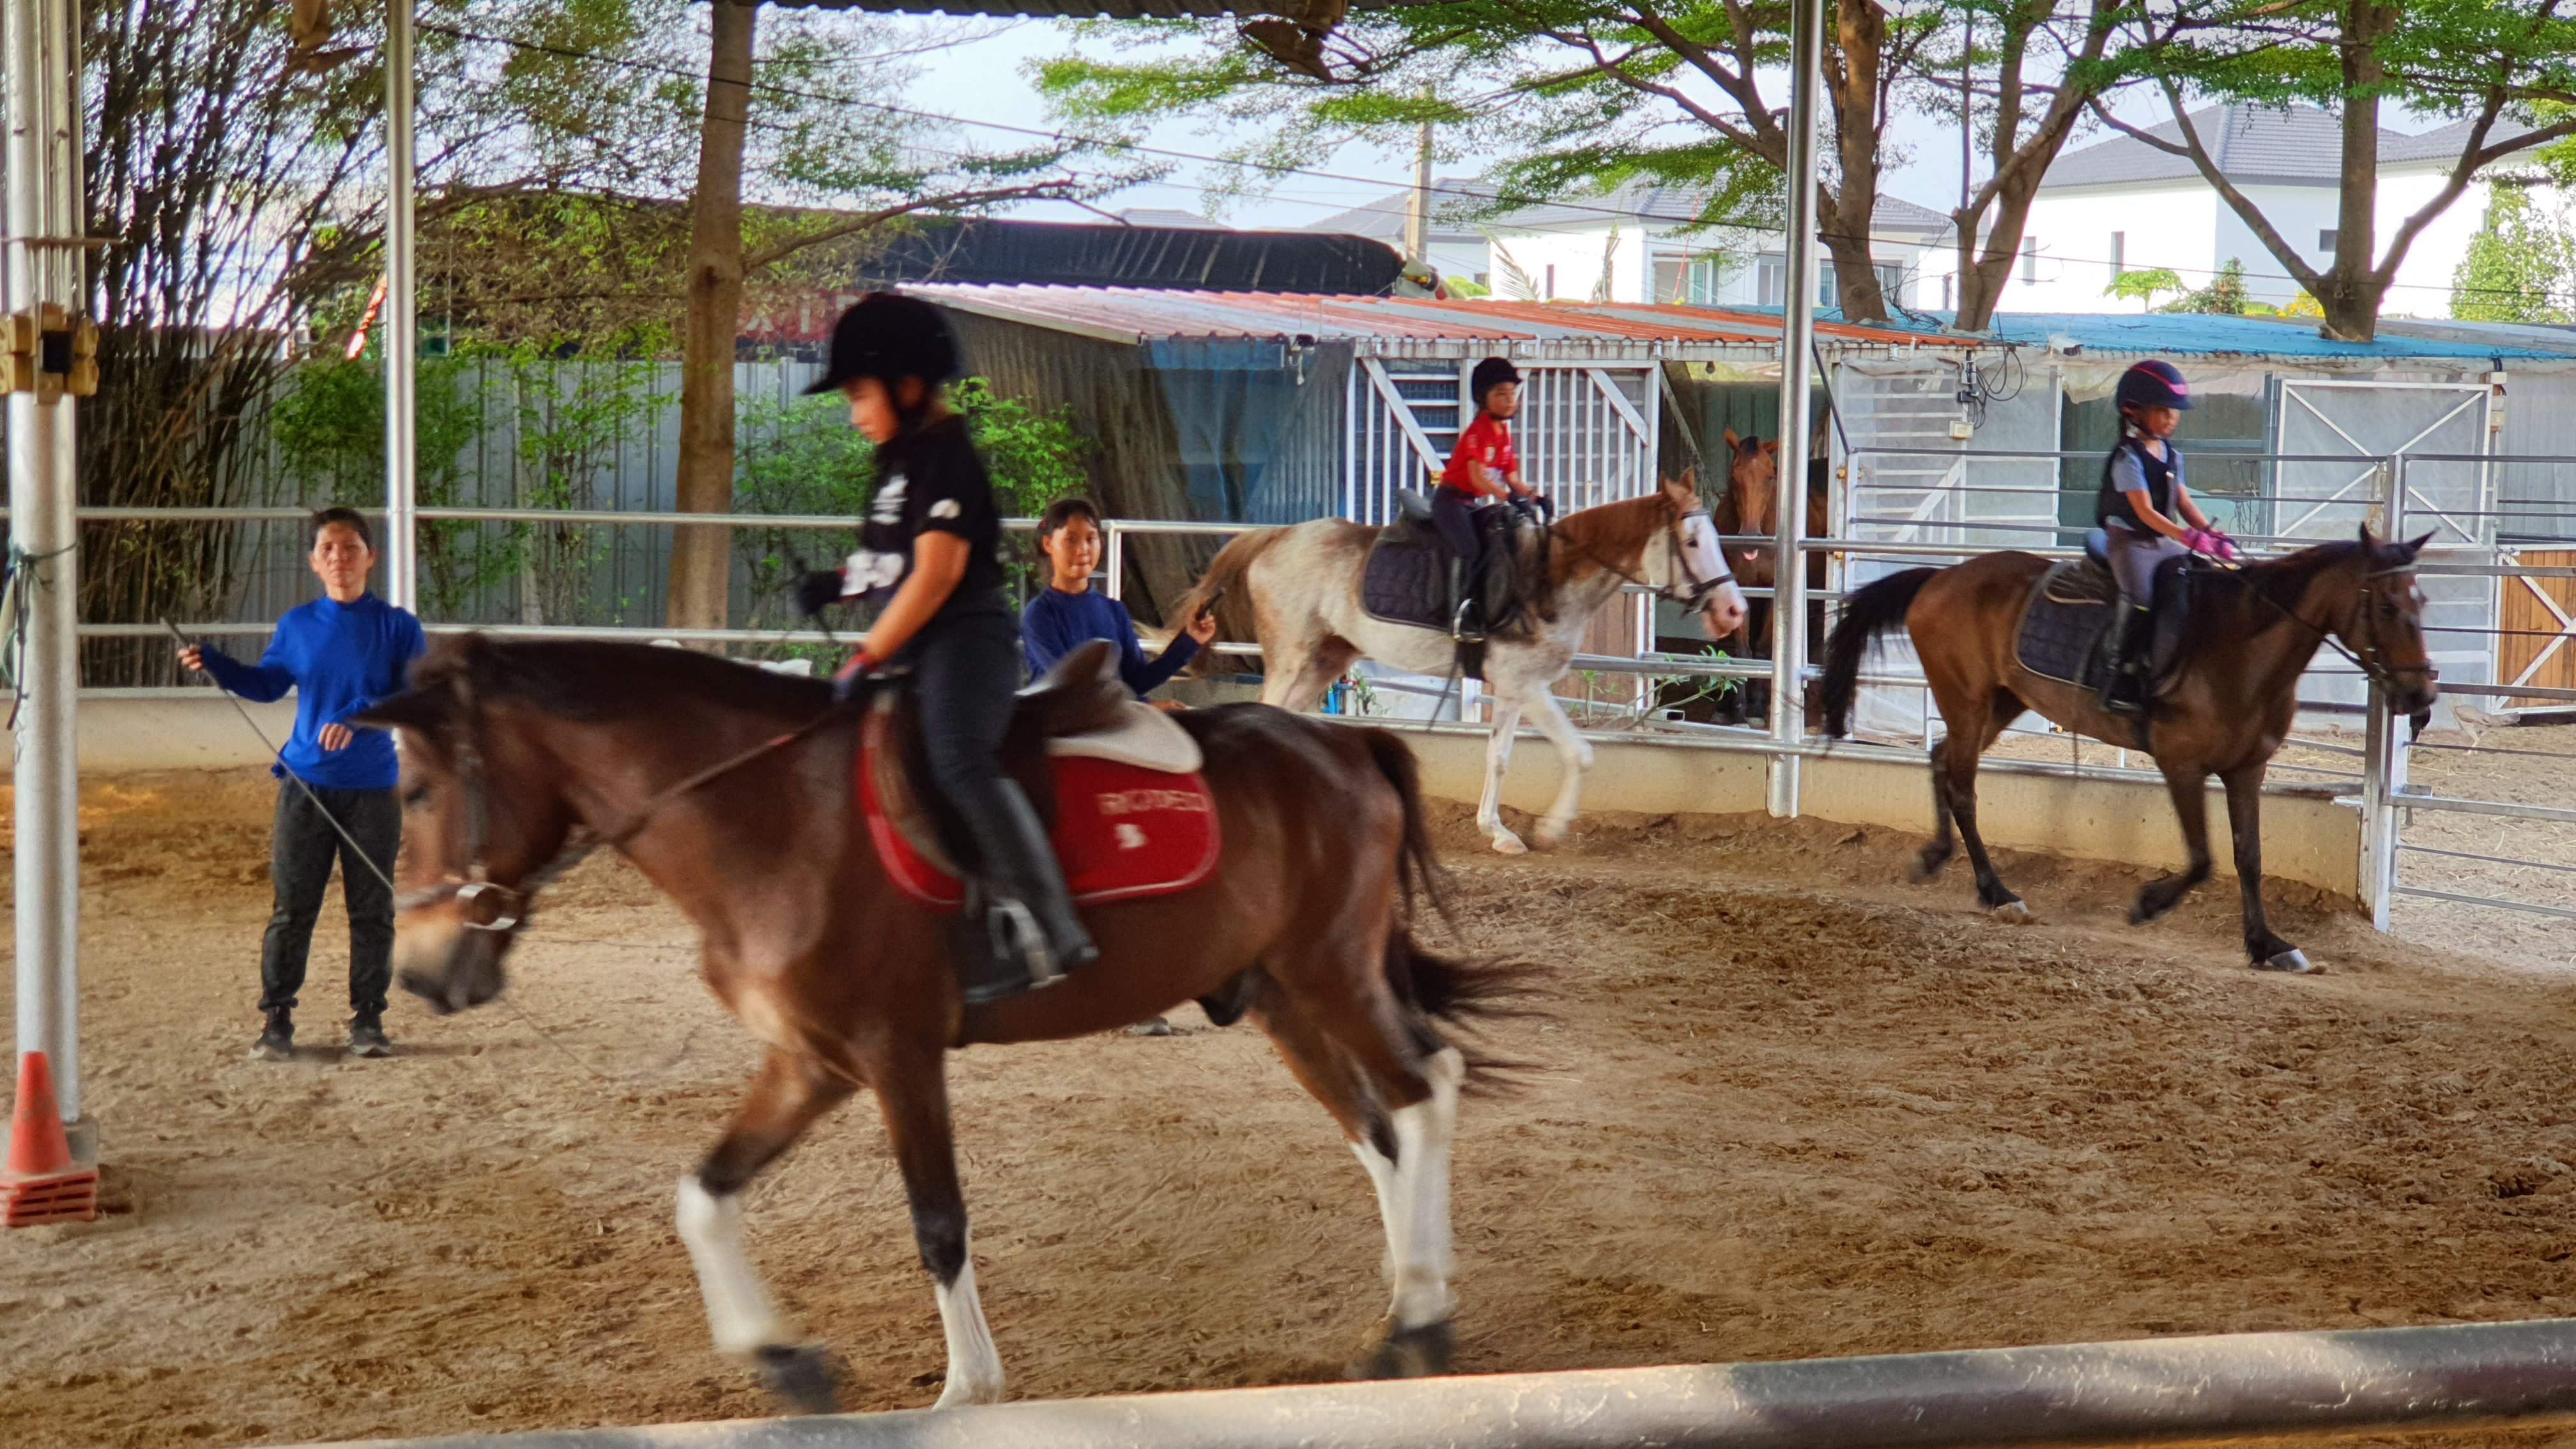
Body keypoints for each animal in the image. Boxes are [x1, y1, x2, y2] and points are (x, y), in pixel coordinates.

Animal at [350, 635, 1533, 1413]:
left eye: (413, 793)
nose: (421, 976)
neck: (770, 814)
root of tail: (1345, 744)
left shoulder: (896, 1053)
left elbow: (937, 1220)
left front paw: (968, 1388)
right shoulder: (810, 1058)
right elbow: (703, 1195)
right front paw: (786, 1362)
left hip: (1330, 971)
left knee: (1424, 1090)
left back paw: (1419, 1320)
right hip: (1283, 993)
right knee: (1377, 1130)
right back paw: (1406, 1307)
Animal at [1175, 475, 1750, 855]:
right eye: (1692, 541)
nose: (1733, 611)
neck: (1549, 576)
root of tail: (1275, 536)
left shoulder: (1516, 688)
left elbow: (1499, 757)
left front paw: (1498, 831)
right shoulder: (1527, 684)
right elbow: (1580, 752)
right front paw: (1550, 829)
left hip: (1325, 660)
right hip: (1292, 658)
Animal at [1709, 431, 1831, 724]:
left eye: (1770, 476)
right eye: (1734, 476)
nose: (1750, 538)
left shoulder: (1775, 596)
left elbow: (1765, 650)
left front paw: (1755, 709)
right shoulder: (1741, 591)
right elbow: (1743, 651)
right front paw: (1739, 712)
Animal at [1815, 528, 2440, 972]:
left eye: (2423, 601)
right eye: (2387, 608)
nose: (2421, 696)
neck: (2240, 647)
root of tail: (1940, 578)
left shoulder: (2247, 770)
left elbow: (2249, 858)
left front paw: (2267, 944)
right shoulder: (2182, 765)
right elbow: (2203, 859)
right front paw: (2148, 904)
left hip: (1998, 703)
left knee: (1942, 760)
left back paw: (1936, 857)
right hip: (1966, 700)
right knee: (1962, 785)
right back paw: (1997, 893)